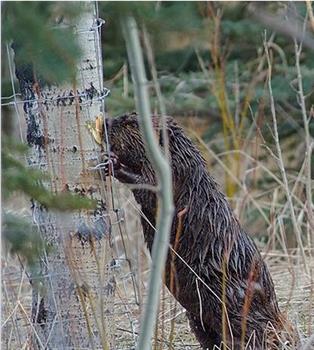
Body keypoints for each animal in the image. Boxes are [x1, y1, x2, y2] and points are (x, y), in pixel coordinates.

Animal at [104, 113, 296, 348]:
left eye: (130, 123)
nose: (105, 122)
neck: (181, 155)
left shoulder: (173, 172)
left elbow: (153, 190)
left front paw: (113, 163)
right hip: (197, 316)